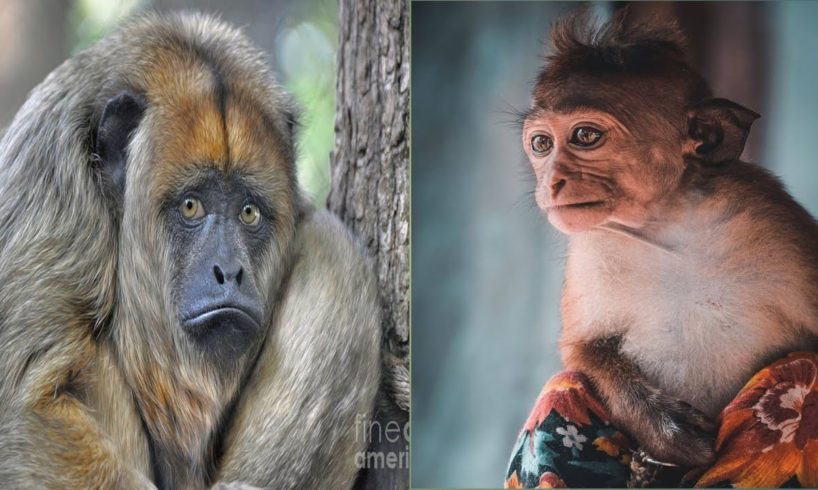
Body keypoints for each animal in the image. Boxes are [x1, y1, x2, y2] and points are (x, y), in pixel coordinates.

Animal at [522, 11, 818, 468]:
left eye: (585, 136)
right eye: (541, 143)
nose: (551, 182)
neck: (666, 223)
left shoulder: (775, 220)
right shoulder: (588, 252)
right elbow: (582, 349)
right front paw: (662, 429)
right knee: (563, 387)